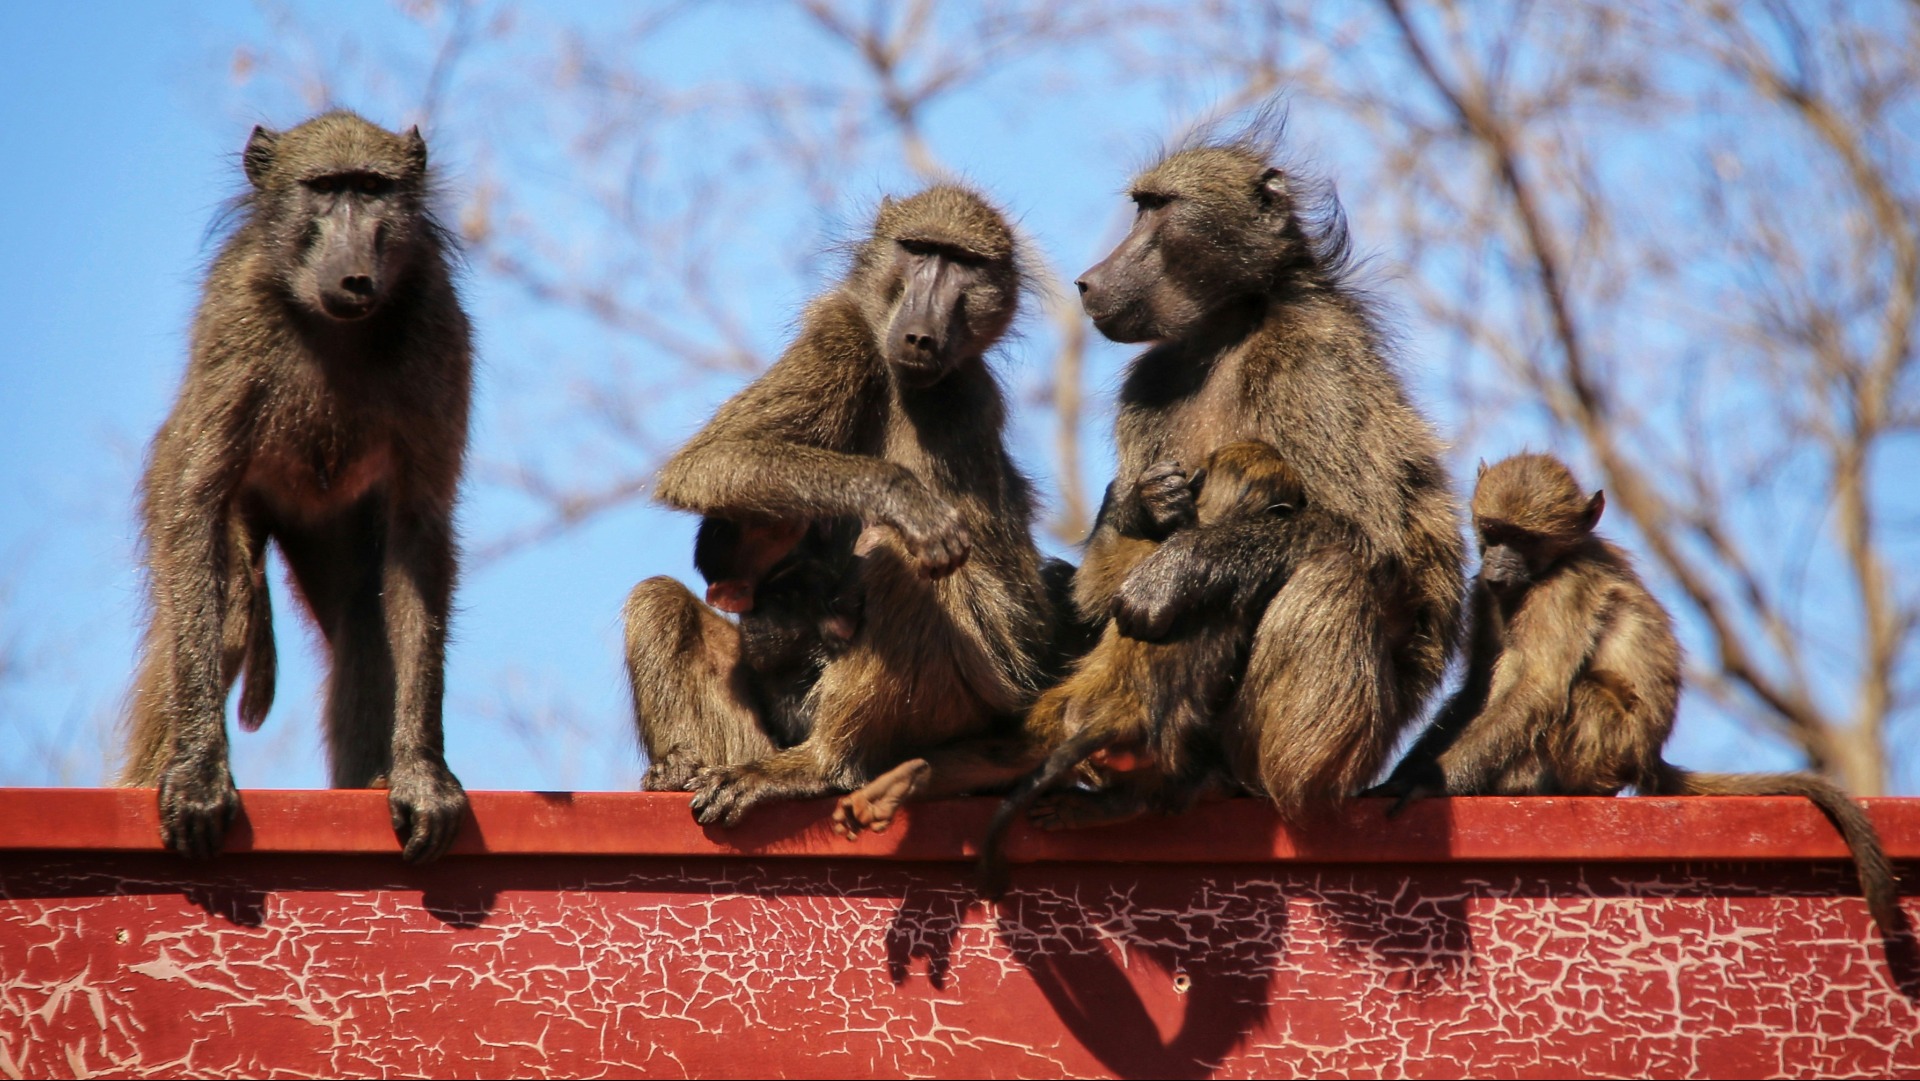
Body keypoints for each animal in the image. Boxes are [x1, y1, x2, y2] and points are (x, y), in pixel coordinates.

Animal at [120, 111, 472, 863]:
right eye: (325, 189)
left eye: (371, 190)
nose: (355, 275)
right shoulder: (236, 318)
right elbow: (197, 498)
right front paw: (197, 774)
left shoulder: (437, 324)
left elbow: (420, 528)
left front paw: (421, 774)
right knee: (228, 608)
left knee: (366, 614)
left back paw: (372, 780)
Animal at [622, 184, 1058, 825]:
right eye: (919, 250)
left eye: (964, 264)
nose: (920, 333)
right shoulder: (841, 330)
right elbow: (712, 458)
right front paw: (899, 493)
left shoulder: (963, 399)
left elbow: (1008, 609)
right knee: (658, 598)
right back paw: (682, 770)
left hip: (963, 705)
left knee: (900, 556)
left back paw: (818, 767)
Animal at [1365, 453, 1901, 935]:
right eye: (1494, 532)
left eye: (1524, 540)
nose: (1498, 566)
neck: (1546, 568)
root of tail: (1649, 755)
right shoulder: (1487, 592)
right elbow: (1477, 687)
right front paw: (1405, 775)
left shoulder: (1561, 588)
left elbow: (1538, 688)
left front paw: (1425, 784)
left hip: (1608, 744)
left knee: (1573, 691)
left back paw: (1524, 786)